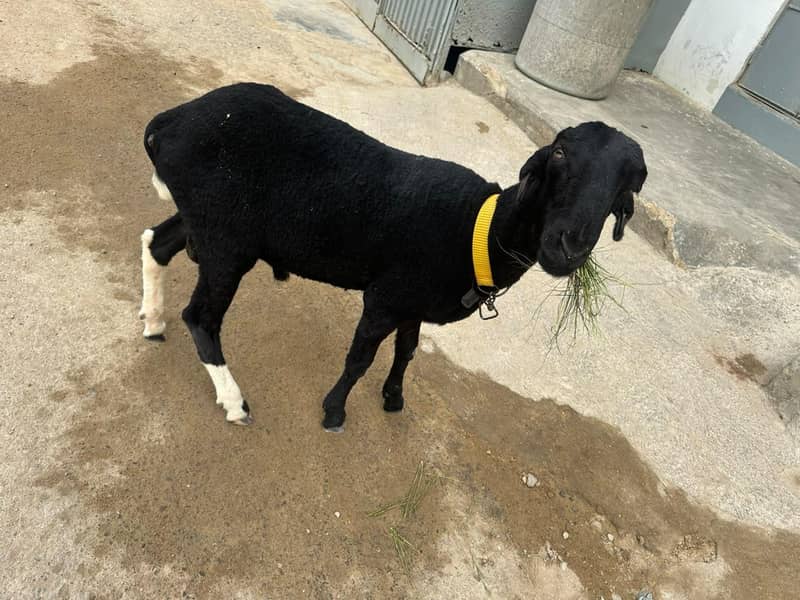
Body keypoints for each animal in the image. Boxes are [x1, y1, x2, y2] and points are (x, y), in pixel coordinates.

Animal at [139, 83, 647, 431]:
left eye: (632, 182)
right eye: (559, 153)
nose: (568, 246)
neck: (476, 230)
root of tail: (166, 124)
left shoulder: (412, 302)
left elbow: (407, 351)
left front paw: (394, 398)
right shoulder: (385, 297)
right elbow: (359, 358)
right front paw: (334, 412)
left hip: (206, 220)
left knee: (154, 243)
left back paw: (153, 321)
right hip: (227, 238)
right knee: (201, 316)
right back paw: (234, 402)